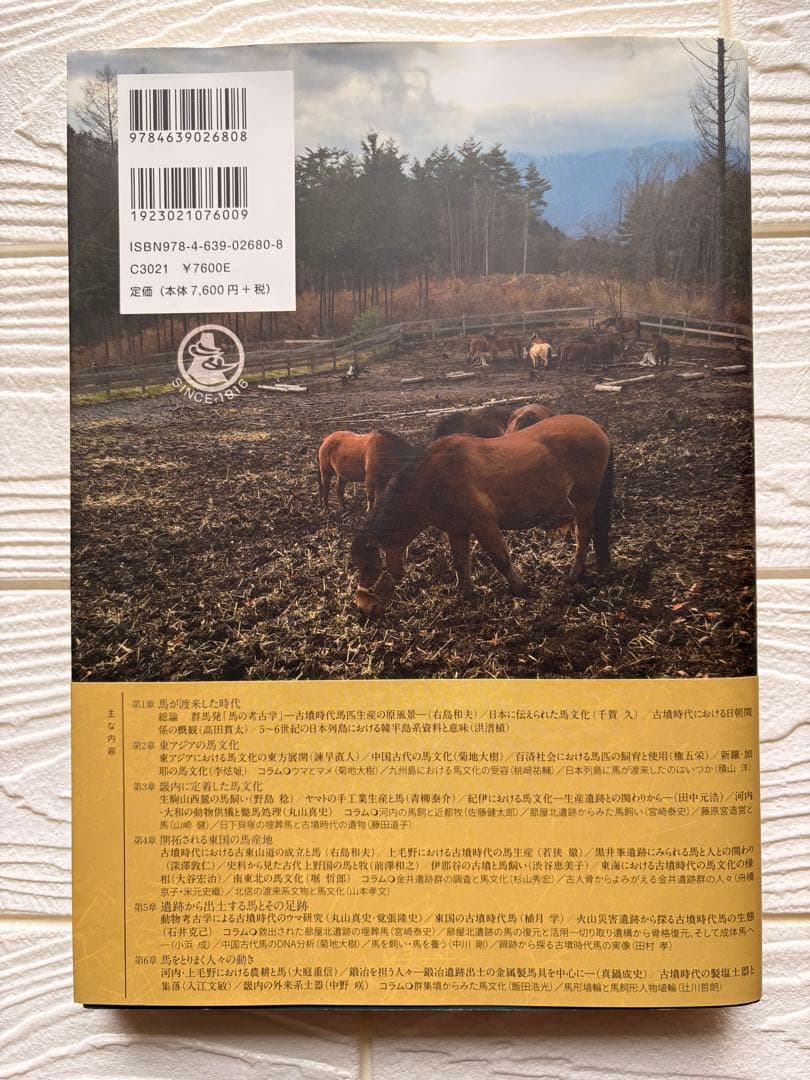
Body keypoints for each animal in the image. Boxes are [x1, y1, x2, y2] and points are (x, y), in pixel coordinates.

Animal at [350, 414, 614, 616]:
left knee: (584, 533)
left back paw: (573, 575)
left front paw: (522, 588)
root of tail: (595, 426)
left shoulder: (484, 523)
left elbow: (501, 558)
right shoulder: (457, 530)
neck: (435, 478)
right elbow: (460, 563)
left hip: (584, 498)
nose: (363, 608)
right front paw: (466, 595)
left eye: (371, 566)